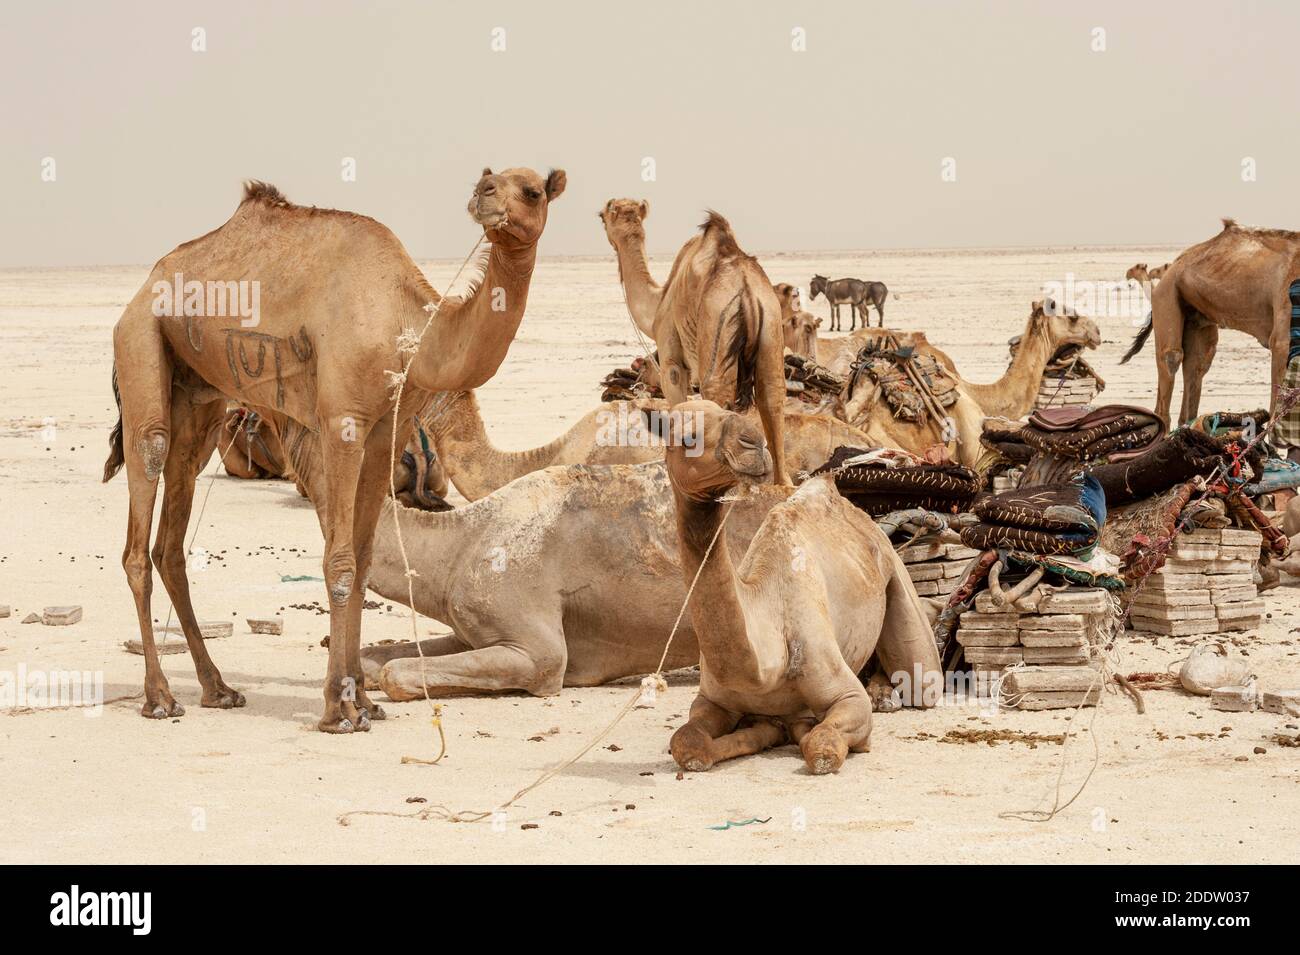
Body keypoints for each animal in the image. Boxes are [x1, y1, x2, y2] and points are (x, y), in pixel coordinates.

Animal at [102, 165, 565, 732]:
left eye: (533, 191)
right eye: (494, 180)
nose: (485, 196)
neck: (407, 328)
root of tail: (143, 288)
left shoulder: (386, 431)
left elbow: (364, 563)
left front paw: (364, 701)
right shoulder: (341, 422)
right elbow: (339, 561)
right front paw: (339, 710)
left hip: (199, 399)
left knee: (172, 533)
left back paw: (218, 688)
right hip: (140, 341)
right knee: (144, 493)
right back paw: (160, 697)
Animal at [655, 212, 791, 485]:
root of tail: (747, 289)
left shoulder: (671, 361)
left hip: (718, 326)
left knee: (717, 393)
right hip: (771, 322)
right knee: (772, 394)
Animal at [663, 400, 941, 774]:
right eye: (687, 436)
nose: (754, 444)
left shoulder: (842, 690)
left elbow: (821, 744)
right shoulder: (711, 699)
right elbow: (687, 743)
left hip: (895, 572)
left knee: (922, 679)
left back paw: (883, 695)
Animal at [1122, 219, 1300, 427]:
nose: (1129, 273)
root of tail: (1175, 263)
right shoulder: (1283, 337)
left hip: (1196, 316)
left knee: (1196, 365)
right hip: (1166, 294)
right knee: (1172, 358)